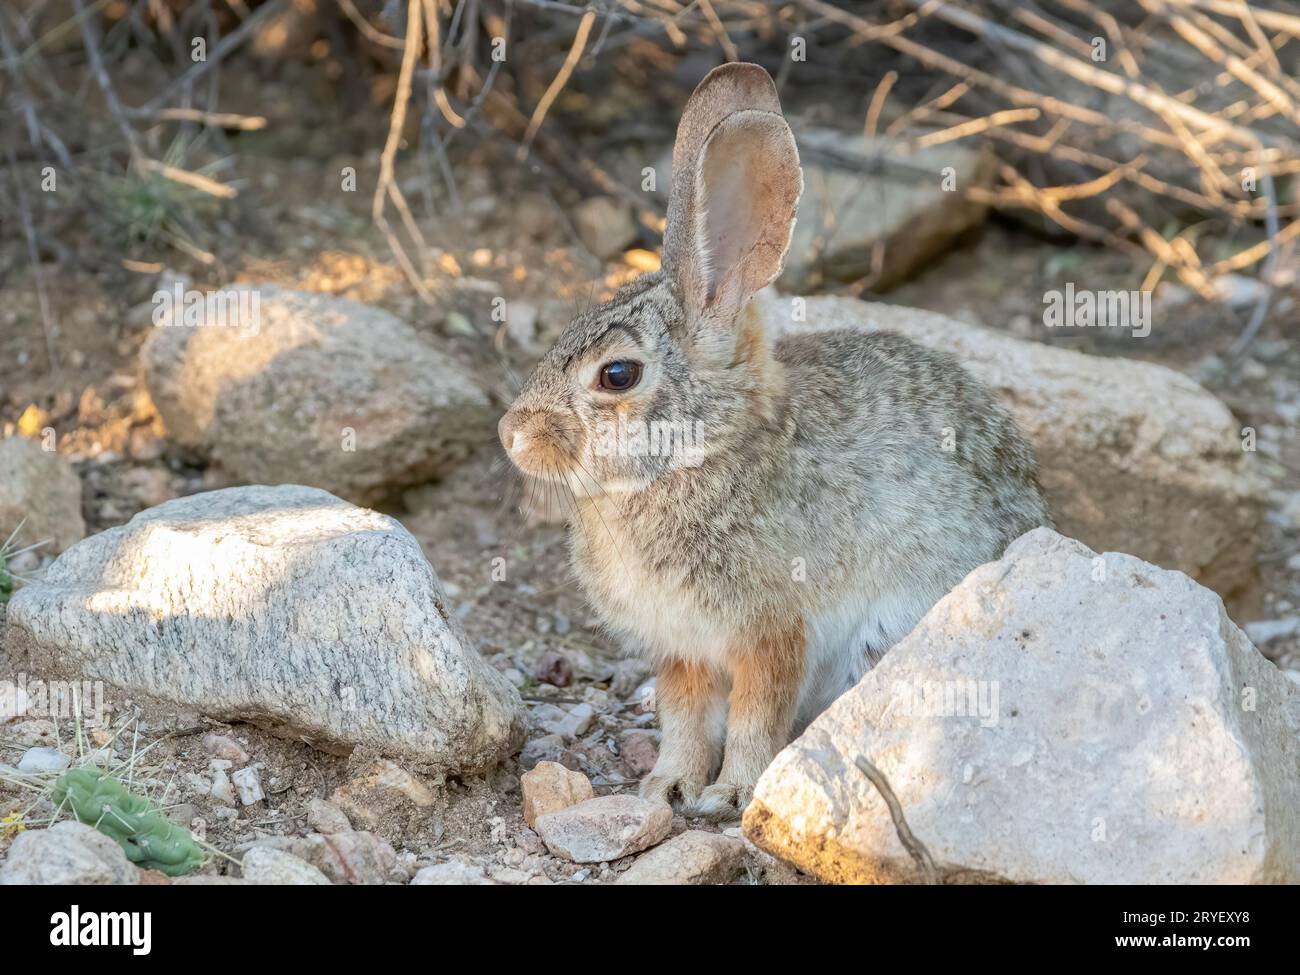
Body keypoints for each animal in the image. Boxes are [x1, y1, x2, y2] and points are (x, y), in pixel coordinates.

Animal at [498, 62, 1051, 820]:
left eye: (616, 375)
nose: (511, 434)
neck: (695, 454)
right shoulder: (682, 648)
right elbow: (684, 716)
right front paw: (665, 786)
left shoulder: (773, 630)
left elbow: (758, 714)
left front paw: (728, 794)